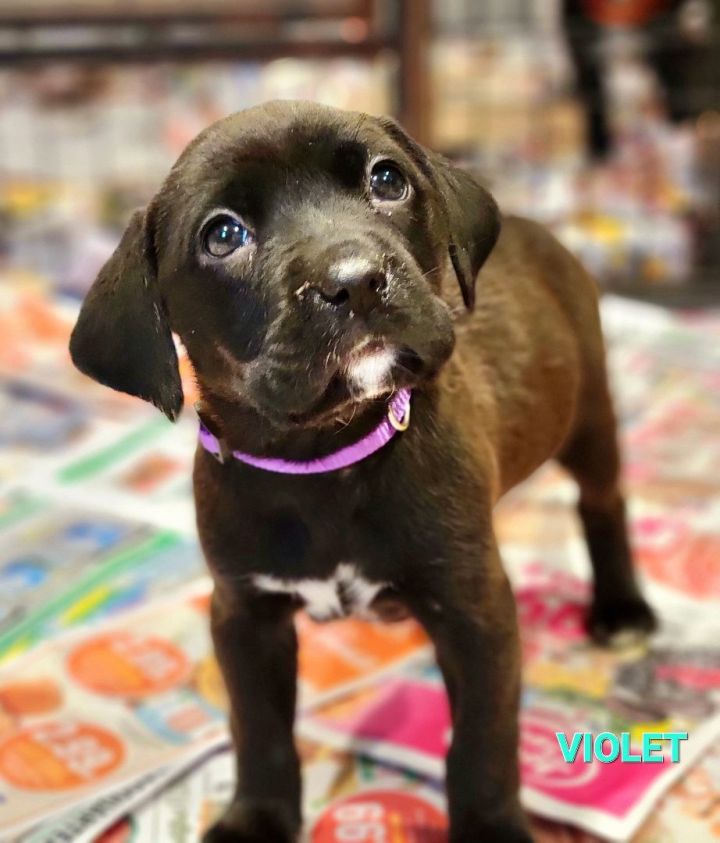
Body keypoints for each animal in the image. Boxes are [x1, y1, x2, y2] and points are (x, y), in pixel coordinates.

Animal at [70, 100, 656, 843]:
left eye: (387, 179)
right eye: (223, 235)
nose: (352, 279)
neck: (326, 459)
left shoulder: (475, 609)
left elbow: (482, 741)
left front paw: (490, 826)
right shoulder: (244, 615)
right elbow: (259, 729)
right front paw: (256, 818)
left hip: (589, 412)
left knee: (604, 500)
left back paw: (622, 607)